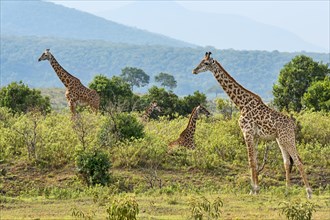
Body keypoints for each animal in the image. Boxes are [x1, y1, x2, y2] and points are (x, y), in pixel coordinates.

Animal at [192, 52, 310, 199]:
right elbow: (255, 161)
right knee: (287, 162)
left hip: (287, 139)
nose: (194, 70)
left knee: (298, 160)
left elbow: (250, 161)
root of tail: (293, 124)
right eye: (201, 61)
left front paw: (253, 189)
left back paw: (309, 193)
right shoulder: (255, 136)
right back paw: (287, 191)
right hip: (280, 140)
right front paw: (256, 189)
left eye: (206, 63)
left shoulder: (247, 132)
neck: (241, 104)